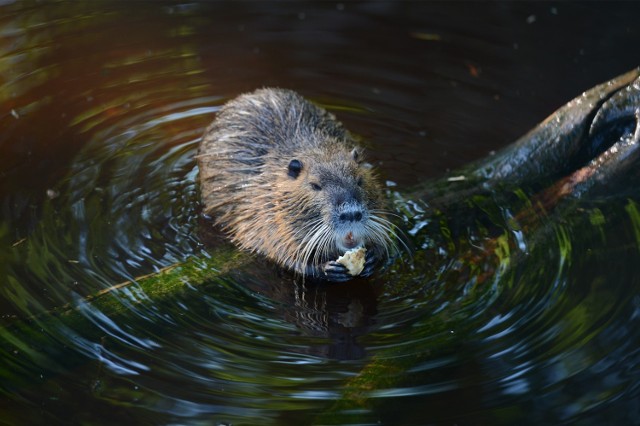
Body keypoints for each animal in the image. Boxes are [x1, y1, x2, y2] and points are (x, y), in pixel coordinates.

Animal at [198, 88, 398, 282]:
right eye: (315, 185)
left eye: (359, 180)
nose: (351, 214)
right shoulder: (258, 209)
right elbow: (275, 249)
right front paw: (326, 269)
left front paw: (372, 257)